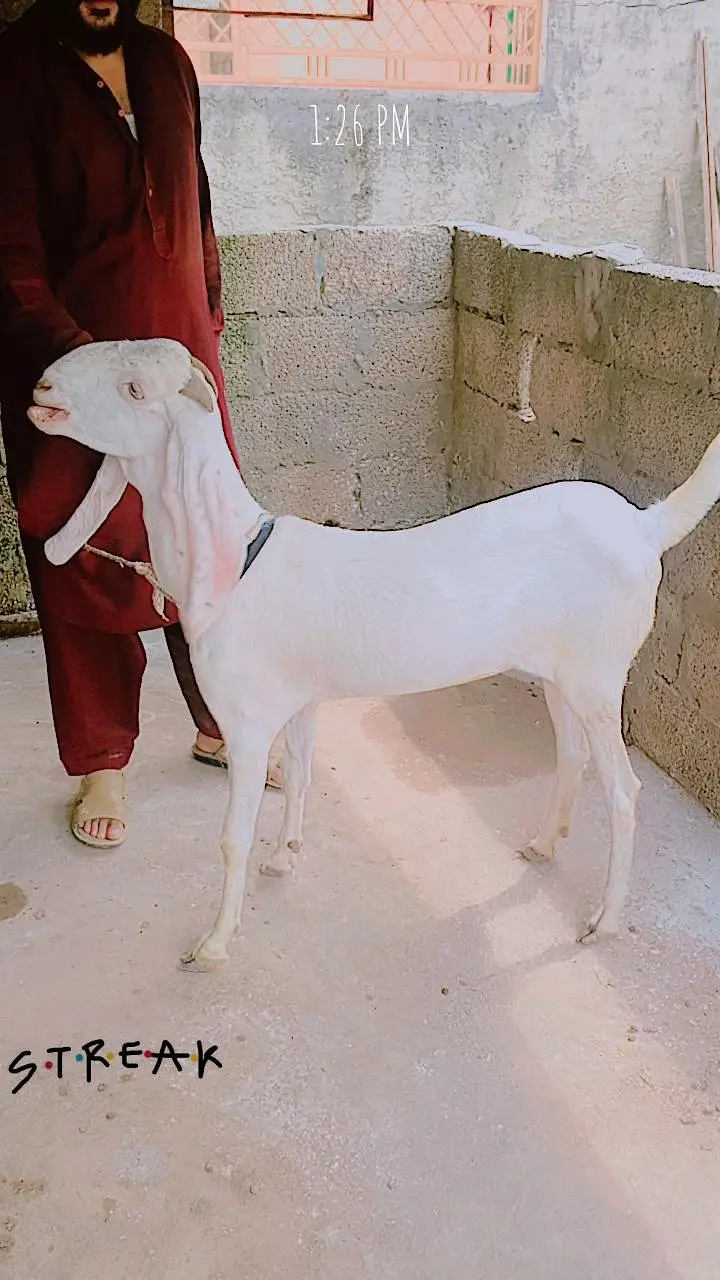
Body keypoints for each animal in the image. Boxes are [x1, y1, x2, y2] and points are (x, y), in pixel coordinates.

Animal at [26, 337, 720, 970]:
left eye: (135, 390)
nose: (42, 390)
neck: (242, 560)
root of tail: (645, 525)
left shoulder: (247, 724)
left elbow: (230, 838)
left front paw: (214, 943)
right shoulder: (299, 701)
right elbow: (300, 774)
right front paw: (285, 856)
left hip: (599, 674)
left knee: (624, 791)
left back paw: (605, 920)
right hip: (562, 672)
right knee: (572, 754)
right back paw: (544, 845)